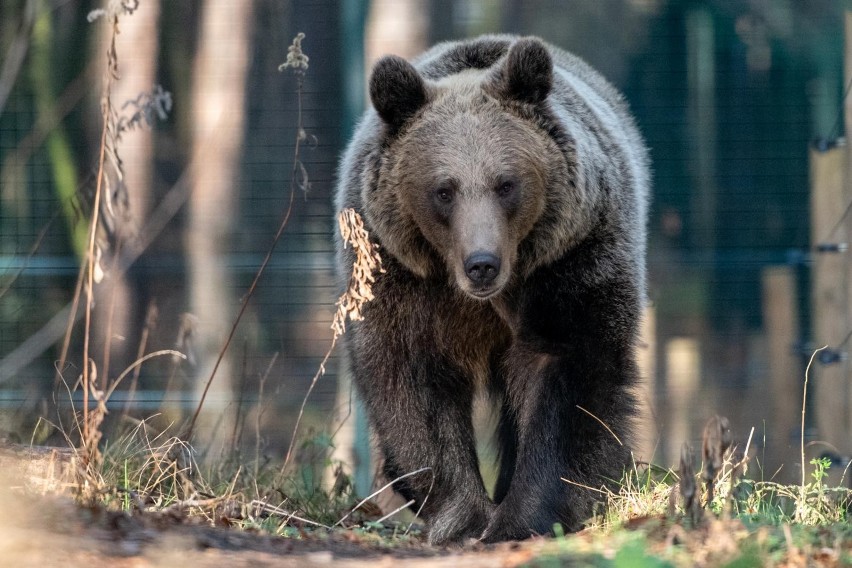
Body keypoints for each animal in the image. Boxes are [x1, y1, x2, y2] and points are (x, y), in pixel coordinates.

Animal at [336, 33, 648, 544]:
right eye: (444, 190)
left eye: (506, 184)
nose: (482, 264)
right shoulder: (402, 274)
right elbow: (413, 378)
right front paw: (462, 516)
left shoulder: (569, 262)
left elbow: (566, 376)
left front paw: (524, 517)